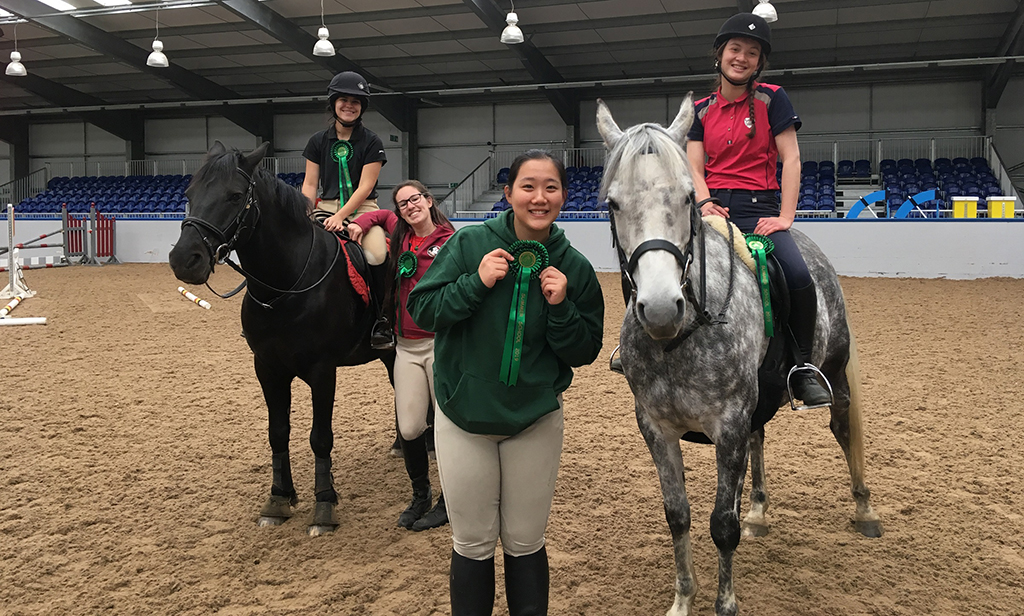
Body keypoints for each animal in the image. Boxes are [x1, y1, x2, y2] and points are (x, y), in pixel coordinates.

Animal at [169, 141, 393, 536]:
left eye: (235, 195)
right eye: (189, 194)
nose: (185, 260)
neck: (285, 287)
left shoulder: (322, 371)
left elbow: (320, 437)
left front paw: (324, 506)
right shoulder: (268, 369)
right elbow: (278, 432)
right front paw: (278, 499)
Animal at [598, 97, 884, 613]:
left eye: (687, 197)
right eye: (613, 202)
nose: (660, 307)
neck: (681, 338)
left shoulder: (728, 422)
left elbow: (721, 526)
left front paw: (725, 602)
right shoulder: (655, 428)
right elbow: (678, 515)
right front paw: (682, 600)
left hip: (833, 373)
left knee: (843, 427)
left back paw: (865, 509)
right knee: (760, 439)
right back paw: (757, 511)